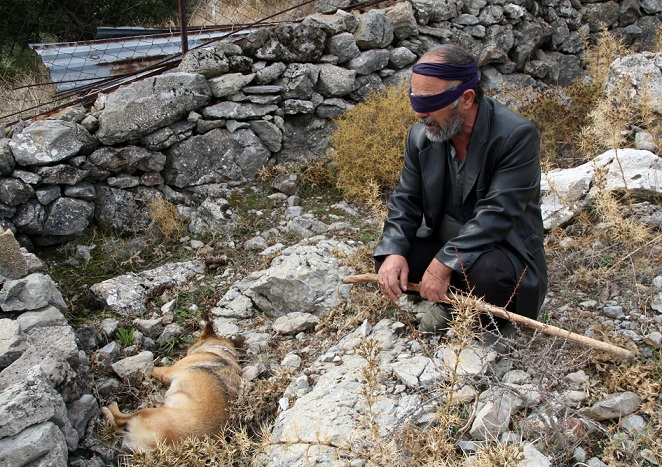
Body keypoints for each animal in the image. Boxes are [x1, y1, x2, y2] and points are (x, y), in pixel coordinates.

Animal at [102, 322, 248, 454]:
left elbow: (152, 368)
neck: (219, 352)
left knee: (120, 420)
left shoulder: (166, 372)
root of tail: (156, 449)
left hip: (146, 412)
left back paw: (109, 408)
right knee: (118, 427)